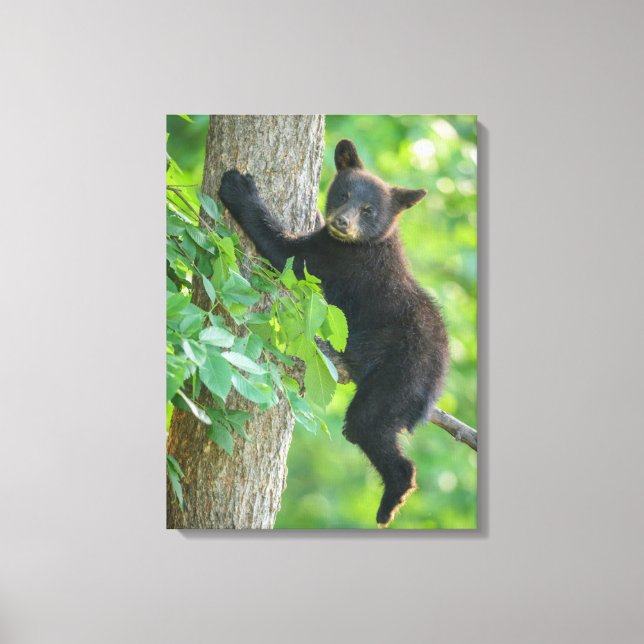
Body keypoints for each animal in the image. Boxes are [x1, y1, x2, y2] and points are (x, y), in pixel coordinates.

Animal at [218, 139, 449, 527]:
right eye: (343, 194)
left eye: (369, 210)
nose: (342, 222)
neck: (366, 243)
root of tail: (436, 383)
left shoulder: (337, 259)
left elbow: (287, 253)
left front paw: (239, 188)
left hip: (398, 377)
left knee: (366, 425)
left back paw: (390, 501)